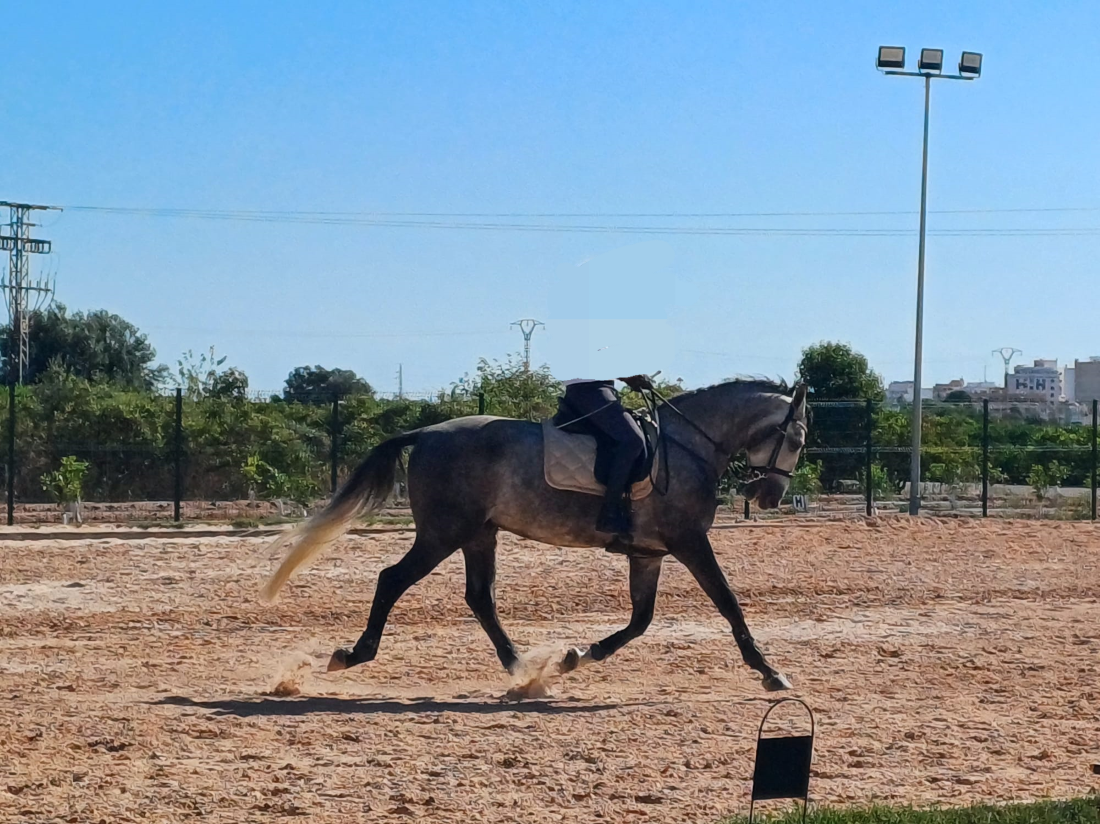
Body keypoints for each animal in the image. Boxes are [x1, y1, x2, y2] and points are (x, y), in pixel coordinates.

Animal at [261, 379, 809, 692]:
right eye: (798, 437)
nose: (769, 496)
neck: (688, 445)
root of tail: (429, 433)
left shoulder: (649, 553)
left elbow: (641, 620)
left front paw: (577, 657)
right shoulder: (689, 542)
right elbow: (728, 602)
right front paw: (769, 672)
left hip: (478, 534)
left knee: (479, 597)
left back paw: (521, 669)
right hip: (444, 532)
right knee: (392, 579)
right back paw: (354, 654)